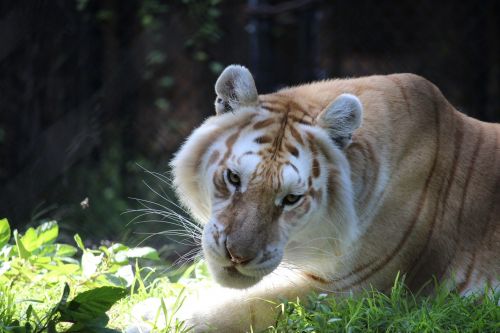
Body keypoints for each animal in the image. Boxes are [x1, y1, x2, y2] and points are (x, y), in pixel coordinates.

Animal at [128, 65, 500, 332]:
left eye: (292, 199)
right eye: (234, 178)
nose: (237, 256)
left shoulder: (357, 288)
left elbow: (240, 308)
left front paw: (149, 318)